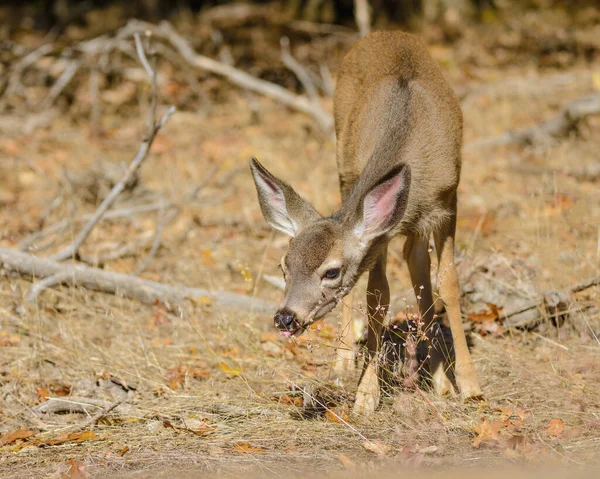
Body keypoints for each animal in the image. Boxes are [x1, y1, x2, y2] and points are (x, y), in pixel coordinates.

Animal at [248, 31, 482, 416]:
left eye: (331, 271)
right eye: (283, 266)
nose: (285, 318)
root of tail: (386, 33)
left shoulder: (448, 202)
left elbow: (447, 284)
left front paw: (469, 386)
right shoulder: (379, 230)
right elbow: (377, 297)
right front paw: (366, 394)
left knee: (417, 262)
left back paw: (439, 377)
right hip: (343, 161)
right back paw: (346, 361)